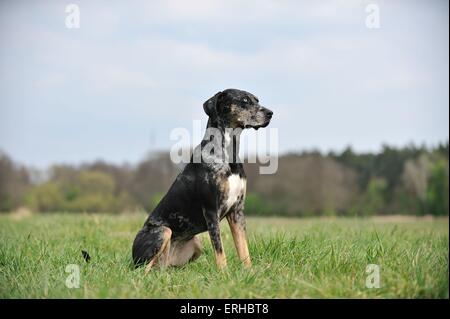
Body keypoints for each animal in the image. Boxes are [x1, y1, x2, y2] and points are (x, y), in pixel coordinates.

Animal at [132, 88, 274, 272]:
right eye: (244, 101)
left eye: (257, 100)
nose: (270, 113)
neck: (229, 153)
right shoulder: (211, 210)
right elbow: (219, 249)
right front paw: (224, 273)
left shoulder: (237, 210)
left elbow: (243, 247)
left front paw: (249, 271)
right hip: (163, 231)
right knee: (142, 269)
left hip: (195, 244)